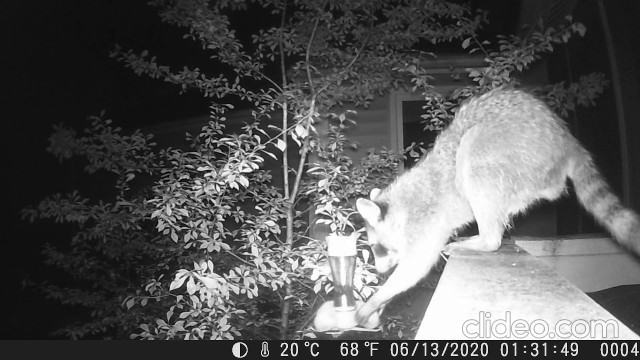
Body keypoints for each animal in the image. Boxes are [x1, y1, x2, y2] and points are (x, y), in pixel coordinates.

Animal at [356, 86, 640, 324]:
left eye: (376, 246)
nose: (379, 270)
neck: (401, 207)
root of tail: (566, 140)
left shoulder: (426, 220)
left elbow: (416, 265)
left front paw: (374, 301)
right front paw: (380, 304)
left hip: (509, 147)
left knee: (472, 152)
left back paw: (486, 239)